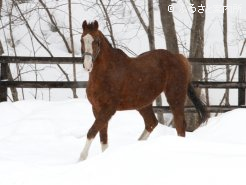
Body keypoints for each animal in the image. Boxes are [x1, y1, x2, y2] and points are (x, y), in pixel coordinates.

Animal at [79, 20, 208, 160]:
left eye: (96, 41)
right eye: (82, 39)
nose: (87, 65)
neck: (107, 73)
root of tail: (179, 57)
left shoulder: (109, 109)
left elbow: (92, 132)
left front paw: (81, 159)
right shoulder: (97, 108)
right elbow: (103, 137)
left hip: (175, 97)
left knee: (179, 125)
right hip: (143, 104)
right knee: (151, 123)